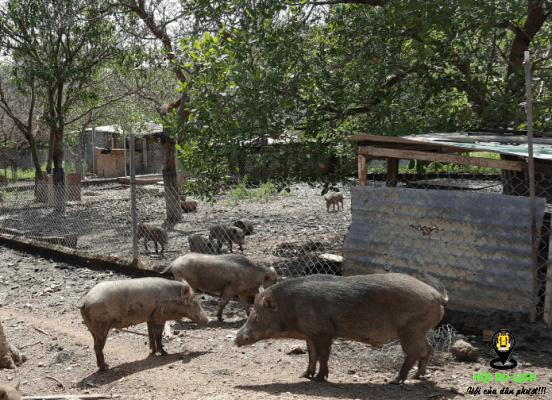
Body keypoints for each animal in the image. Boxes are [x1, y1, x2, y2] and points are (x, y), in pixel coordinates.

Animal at [76, 276, 208, 370]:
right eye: (193, 301)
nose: (208, 319)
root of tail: (85, 300)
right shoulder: (160, 316)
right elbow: (158, 336)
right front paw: (165, 353)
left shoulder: (150, 317)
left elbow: (150, 334)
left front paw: (153, 352)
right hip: (101, 326)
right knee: (97, 346)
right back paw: (106, 367)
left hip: (92, 327)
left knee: (95, 344)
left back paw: (103, 366)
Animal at [235, 274, 446, 382]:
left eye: (256, 316)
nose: (235, 339)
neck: (291, 307)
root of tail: (437, 295)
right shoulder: (310, 335)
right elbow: (311, 354)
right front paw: (304, 375)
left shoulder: (323, 332)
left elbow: (322, 355)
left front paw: (319, 379)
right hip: (419, 331)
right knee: (427, 349)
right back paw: (419, 376)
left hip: (410, 330)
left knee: (413, 353)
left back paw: (396, 379)